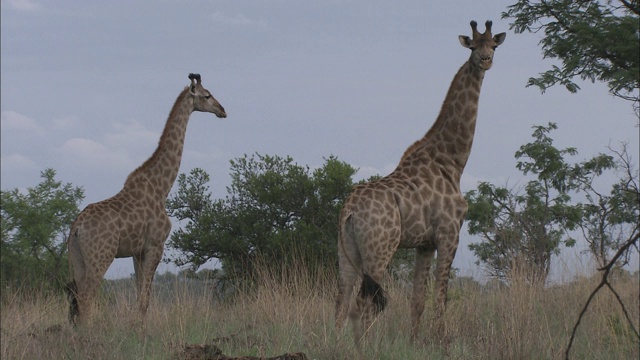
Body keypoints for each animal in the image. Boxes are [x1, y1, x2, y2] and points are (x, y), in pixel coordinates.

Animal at [66, 73, 226, 326]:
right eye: (207, 95)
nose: (223, 110)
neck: (162, 188)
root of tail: (77, 227)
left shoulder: (137, 251)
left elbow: (139, 295)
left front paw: (136, 327)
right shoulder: (155, 245)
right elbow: (145, 299)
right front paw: (140, 331)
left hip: (76, 258)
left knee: (77, 297)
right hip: (101, 256)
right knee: (87, 297)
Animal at [336, 20, 504, 346]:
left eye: (494, 45)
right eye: (474, 46)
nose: (486, 60)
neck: (452, 161)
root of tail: (349, 210)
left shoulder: (424, 244)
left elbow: (417, 301)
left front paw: (414, 343)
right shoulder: (449, 233)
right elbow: (441, 297)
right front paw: (442, 341)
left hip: (346, 251)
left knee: (341, 300)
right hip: (380, 249)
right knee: (362, 304)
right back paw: (365, 347)